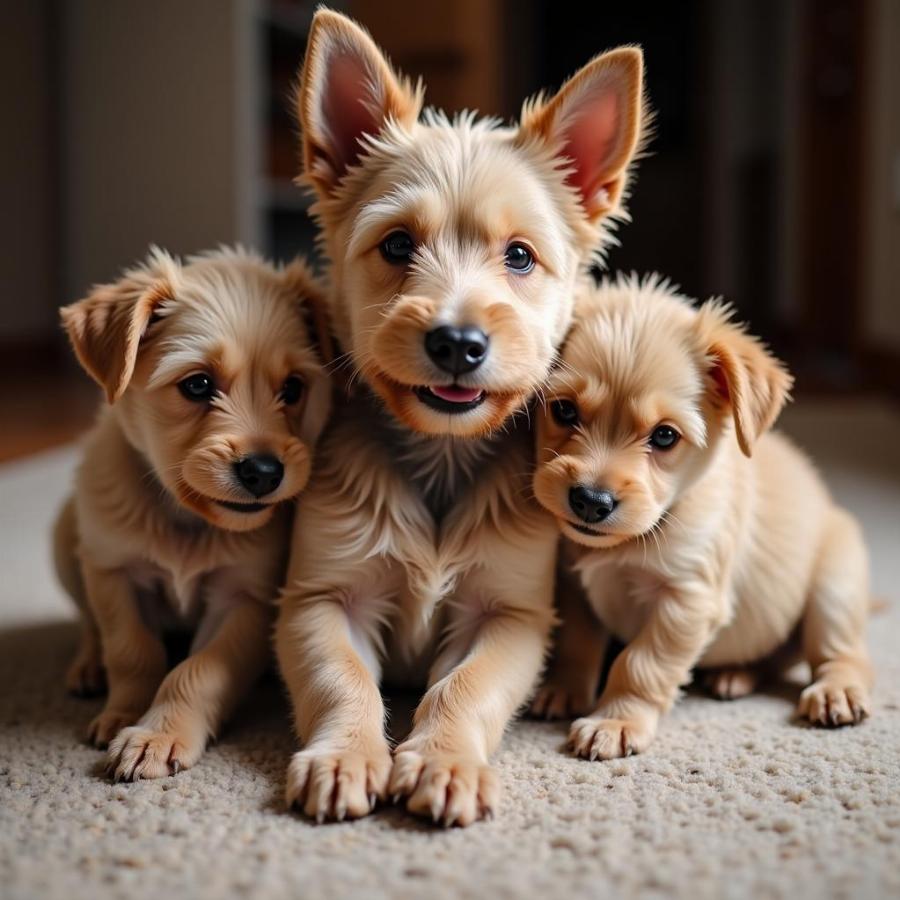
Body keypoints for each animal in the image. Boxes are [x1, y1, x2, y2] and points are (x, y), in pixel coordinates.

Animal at [51, 248, 330, 780]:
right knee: (88, 624)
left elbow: (196, 672)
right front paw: (123, 712)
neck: (188, 520)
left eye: (293, 388)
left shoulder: (244, 597)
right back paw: (87, 666)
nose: (264, 471)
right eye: (198, 385)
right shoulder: (115, 572)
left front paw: (158, 733)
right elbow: (132, 650)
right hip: (68, 541)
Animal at [274, 8, 648, 824]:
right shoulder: (322, 598)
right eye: (396, 244)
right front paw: (346, 754)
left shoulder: (508, 614)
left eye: (520, 256)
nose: (456, 342)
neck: (441, 454)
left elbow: (464, 688)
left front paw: (444, 759)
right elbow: (342, 681)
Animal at [536, 276, 872, 760]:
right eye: (563, 410)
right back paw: (734, 675)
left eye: (664, 436)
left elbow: (640, 664)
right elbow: (577, 644)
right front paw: (564, 688)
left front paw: (616, 719)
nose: (590, 502)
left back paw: (836, 690)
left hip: (835, 585)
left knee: (842, 654)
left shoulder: (686, 598)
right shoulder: (573, 584)